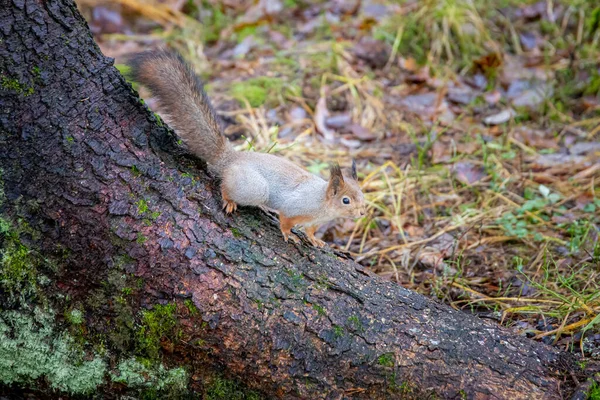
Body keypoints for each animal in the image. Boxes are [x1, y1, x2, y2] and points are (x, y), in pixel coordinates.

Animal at [127, 50, 366, 247]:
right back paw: (229, 200)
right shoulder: (296, 208)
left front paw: (315, 240)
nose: (363, 212)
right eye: (345, 200)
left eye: (362, 195)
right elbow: (286, 221)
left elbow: (311, 231)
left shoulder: (315, 221)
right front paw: (288, 234)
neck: (322, 203)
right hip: (254, 187)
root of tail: (229, 159)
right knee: (225, 186)